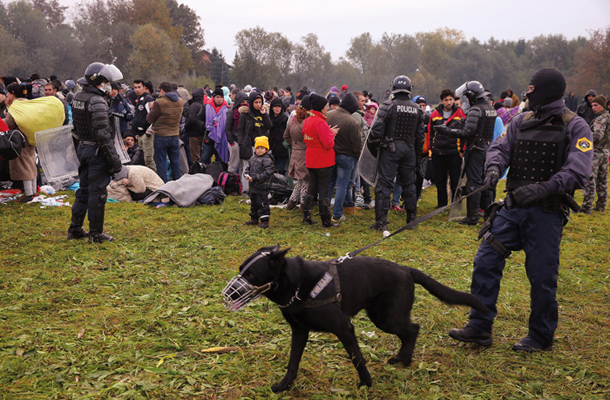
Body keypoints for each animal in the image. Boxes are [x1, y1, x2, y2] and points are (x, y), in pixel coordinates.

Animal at [221, 245, 486, 392]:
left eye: (252, 275)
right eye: (241, 270)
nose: (227, 294)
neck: (297, 285)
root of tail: (406, 269)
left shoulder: (344, 328)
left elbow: (357, 358)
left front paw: (366, 385)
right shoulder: (299, 332)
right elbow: (293, 362)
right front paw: (285, 385)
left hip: (387, 318)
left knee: (413, 329)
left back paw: (405, 359)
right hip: (381, 316)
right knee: (409, 331)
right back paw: (402, 358)